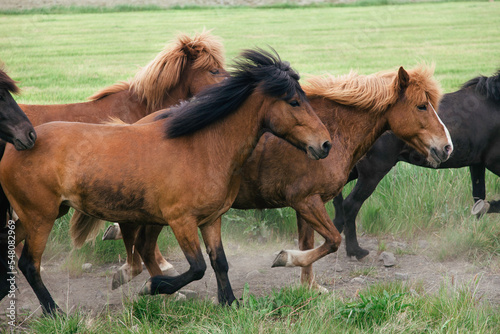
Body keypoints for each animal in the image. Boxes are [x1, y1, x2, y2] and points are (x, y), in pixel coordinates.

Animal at [0, 49, 332, 314]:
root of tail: (19, 145)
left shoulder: (211, 220)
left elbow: (220, 262)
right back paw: (54, 311)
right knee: (29, 264)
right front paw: (154, 287)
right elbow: (197, 267)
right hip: (40, 218)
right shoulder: (180, 220)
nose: (326, 144)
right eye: (294, 102)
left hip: (38, 215)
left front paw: (229, 303)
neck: (203, 146)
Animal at [101, 64, 454, 290]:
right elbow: (331, 241)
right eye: (422, 106)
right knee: (142, 242)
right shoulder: (307, 201)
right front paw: (285, 260)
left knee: (144, 243)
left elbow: (312, 243)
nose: (447, 147)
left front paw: (310, 287)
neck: (333, 132)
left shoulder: (307, 204)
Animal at [330, 69, 500, 260]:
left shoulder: (477, 163)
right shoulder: (494, 162)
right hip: (372, 173)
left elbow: (478, 196)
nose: (446, 147)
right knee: (350, 204)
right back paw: (355, 250)